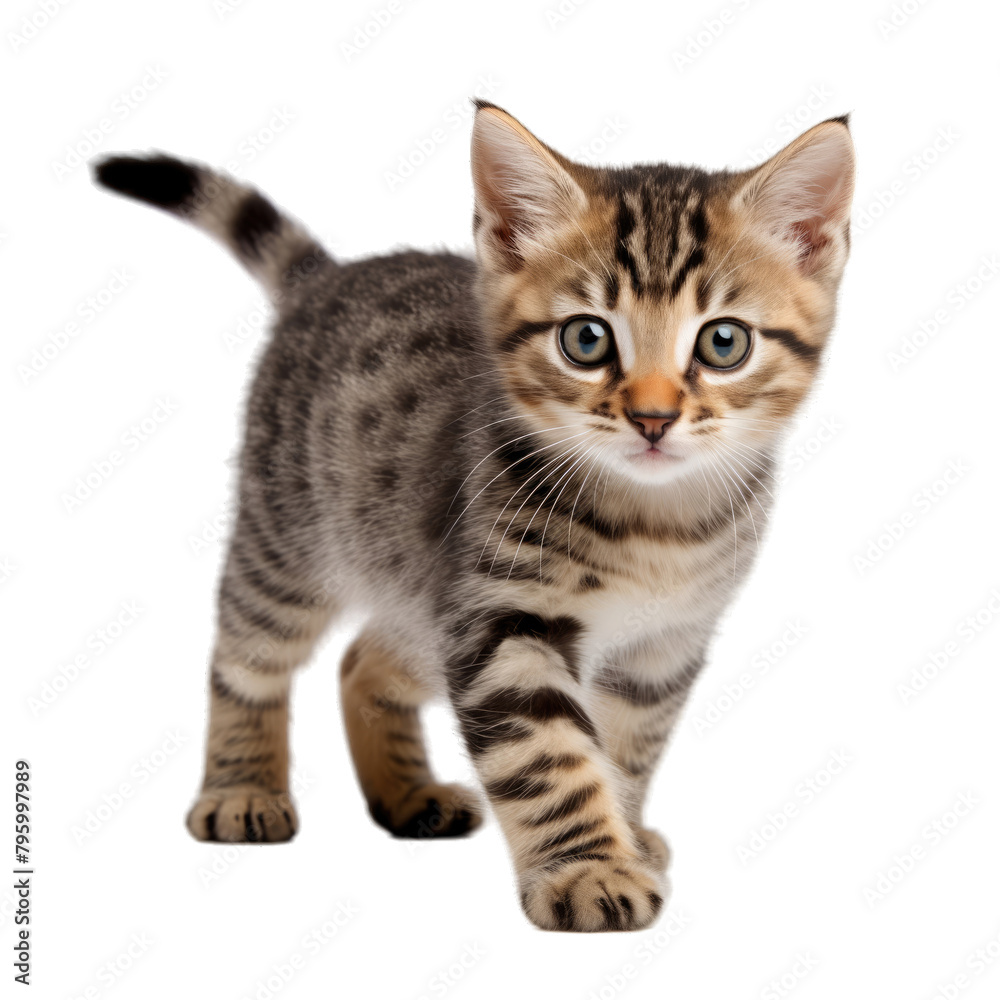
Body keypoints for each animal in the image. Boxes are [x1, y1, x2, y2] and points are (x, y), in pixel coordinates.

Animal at [94, 101, 856, 928]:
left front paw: (624, 832)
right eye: (586, 338)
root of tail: (331, 277)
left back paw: (407, 796)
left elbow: (625, 748)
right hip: (288, 536)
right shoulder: (502, 622)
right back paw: (242, 787)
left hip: (417, 588)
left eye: (723, 342)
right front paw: (588, 869)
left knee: (362, 658)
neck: (655, 526)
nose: (653, 418)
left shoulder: (661, 646)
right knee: (247, 656)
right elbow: (550, 759)